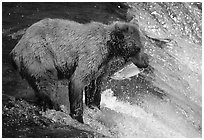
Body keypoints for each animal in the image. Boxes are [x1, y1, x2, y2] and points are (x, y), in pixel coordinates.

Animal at [10, 18, 148, 123]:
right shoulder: (91, 53)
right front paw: (79, 117)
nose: (146, 63)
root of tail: (15, 51)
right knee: (47, 83)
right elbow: (78, 81)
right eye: (137, 48)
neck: (110, 47)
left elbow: (94, 86)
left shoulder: (101, 65)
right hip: (40, 55)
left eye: (142, 46)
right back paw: (57, 108)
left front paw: (94, 106)